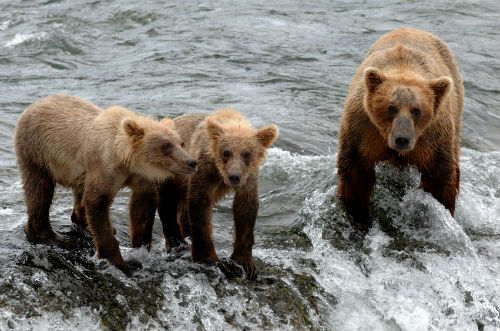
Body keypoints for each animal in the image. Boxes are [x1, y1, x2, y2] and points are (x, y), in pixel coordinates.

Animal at [336, 27, 464, 231]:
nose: (402, 139)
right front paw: (360, 216)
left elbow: (440, 177)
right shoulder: (363, 129)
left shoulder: (433, 137)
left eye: (417, 110)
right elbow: (356, 174)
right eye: (391, 107)